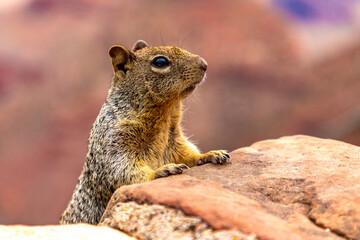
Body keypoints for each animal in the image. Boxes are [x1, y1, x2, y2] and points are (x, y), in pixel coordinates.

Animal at [58, 39, 229, 225]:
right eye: (160, 62)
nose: (204, 64)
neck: (165, 116)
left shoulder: (175, 141)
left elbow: (189, 154)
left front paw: (211, 154)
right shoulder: (114, 142)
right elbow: (120, 171)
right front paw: (162, 170)